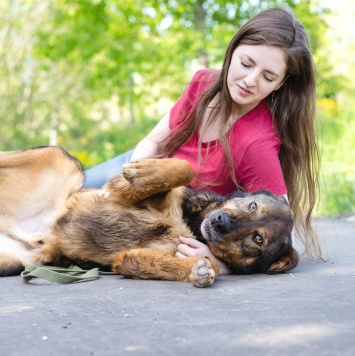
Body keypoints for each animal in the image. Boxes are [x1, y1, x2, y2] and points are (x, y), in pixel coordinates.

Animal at [0, 146, 300, 288]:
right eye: (252, 206)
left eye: (258, 239)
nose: (220, 222)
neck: (191, 225)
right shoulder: (119, 191)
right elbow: (183, 168)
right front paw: (144, 171)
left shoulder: (129, 258)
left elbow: (195, 264)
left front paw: (201, 270)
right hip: (61, 158)